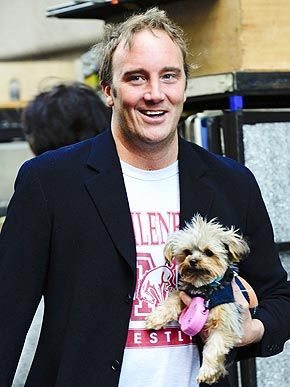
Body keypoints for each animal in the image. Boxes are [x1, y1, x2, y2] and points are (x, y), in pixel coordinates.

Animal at [146, 215, 253, 384]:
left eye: (209, 252)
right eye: (187, 252)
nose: (193, 261)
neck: (203, 289)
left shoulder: (226, 322)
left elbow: (214, 347)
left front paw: (207, 371)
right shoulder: (186, 290)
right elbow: (173, 299)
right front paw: (157, 317)